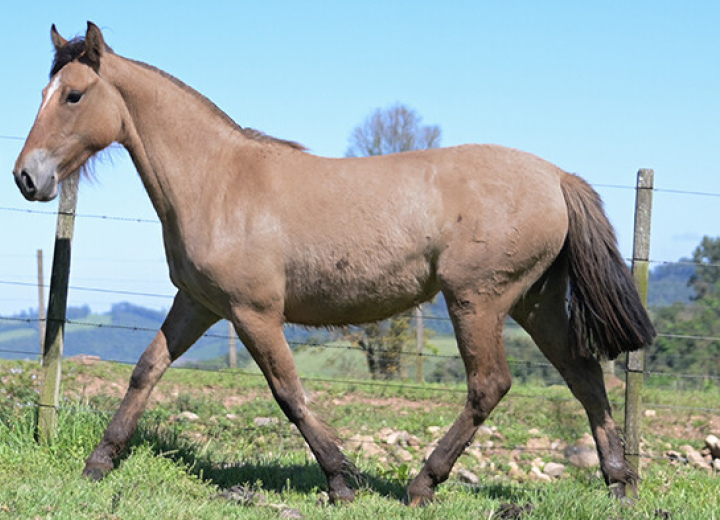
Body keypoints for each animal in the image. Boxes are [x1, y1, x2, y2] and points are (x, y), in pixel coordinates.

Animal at [12, 22, 652, 506]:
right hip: (533, 301)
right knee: (583, 374)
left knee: (490, 385)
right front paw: (99, 462)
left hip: (479, 300)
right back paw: (619, 484)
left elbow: (289, 392)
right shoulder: (197, 304)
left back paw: (422, 485)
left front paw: (341, 480)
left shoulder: (255, 313)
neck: (218, 181)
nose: (26, 177)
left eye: (73, 95)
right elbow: (146, 371)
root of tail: (557, 177)